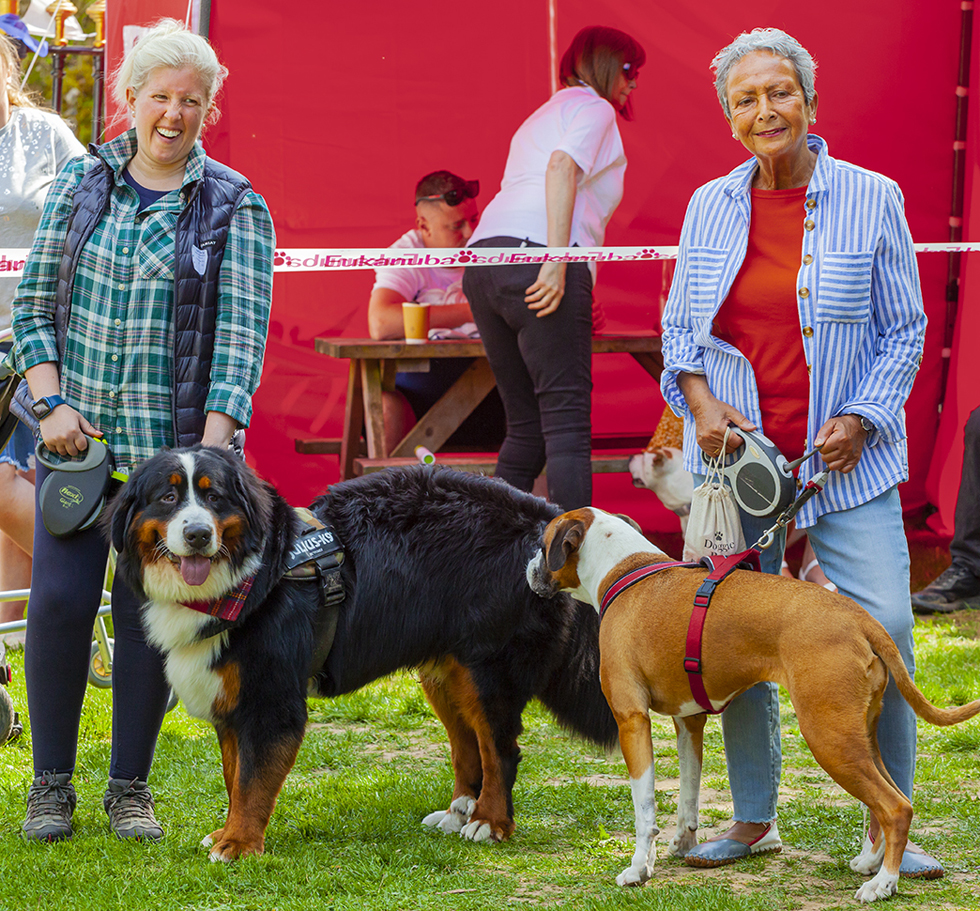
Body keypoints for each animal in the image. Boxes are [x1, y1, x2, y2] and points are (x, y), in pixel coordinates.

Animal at [107, 452, 612, 864]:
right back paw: (458, 812)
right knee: (469, 745)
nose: (197, 534)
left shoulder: (270, 700)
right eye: (169, 496)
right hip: (447, 673)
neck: (253, 574)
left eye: (213, 498)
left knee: (500, 750)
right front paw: (226, 834)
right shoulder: (232, 699)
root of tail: (543, 514)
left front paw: (239, 844)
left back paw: (489, 821)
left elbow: (251, 783)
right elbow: (235, 777)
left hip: (488, 670)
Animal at [528, 510, 980, 900]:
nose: (529, 566)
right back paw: (870, 862)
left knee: (895, 806)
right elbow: (687, 794)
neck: (626, 569)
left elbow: (645, 810)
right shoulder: (688, 723)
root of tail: (859, 616)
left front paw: (639, 868)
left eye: (541, 543)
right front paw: (683, 843)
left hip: (829, 738)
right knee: (888, 800)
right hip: (859, 736)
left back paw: (882, 883)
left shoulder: (631, 721)